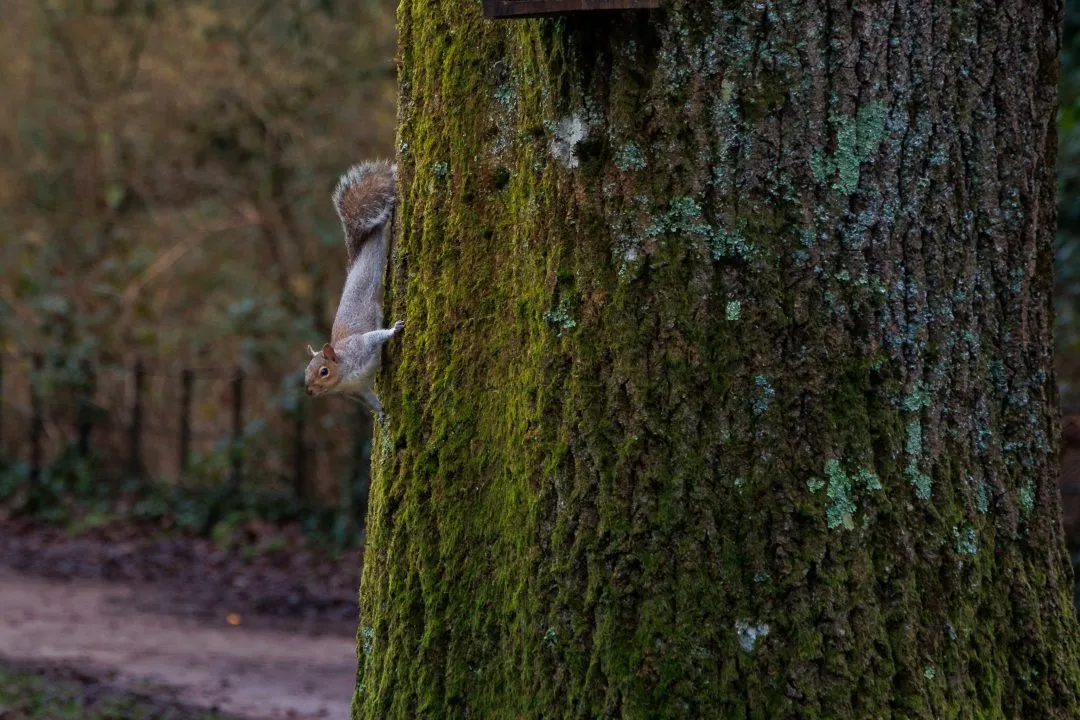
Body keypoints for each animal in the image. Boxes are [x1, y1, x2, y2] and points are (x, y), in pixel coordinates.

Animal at [304, 160, 404, 419]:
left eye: (324, 371)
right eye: (306, 371)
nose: (309, 391)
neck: (345, 376)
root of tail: (354, 265)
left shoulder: (360, 348)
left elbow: (374, 337)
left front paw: (393, 330)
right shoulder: (357, 391)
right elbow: (371, 400)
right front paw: (382, 414)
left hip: (368, 274)